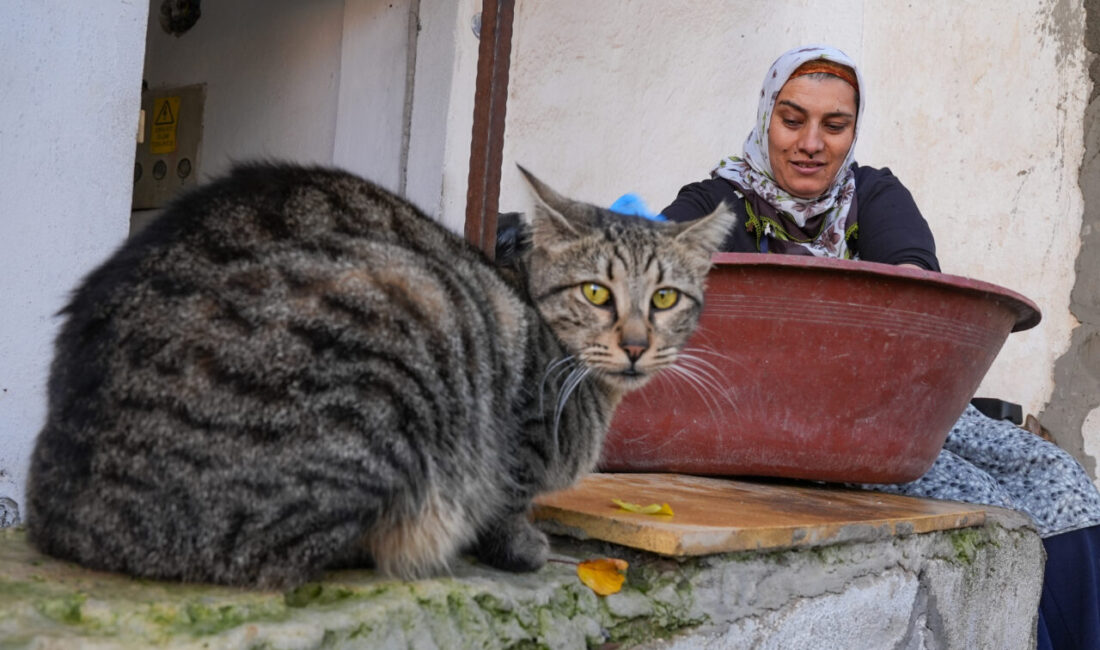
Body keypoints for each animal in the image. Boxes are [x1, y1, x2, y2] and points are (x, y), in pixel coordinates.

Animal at [25, 162, 734, 589]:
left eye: (665, 299)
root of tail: (65, 514)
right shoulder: (515, 440)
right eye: (595, 293)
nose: (637, 345)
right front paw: (522, 546)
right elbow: (506, 500)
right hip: (407, 317)